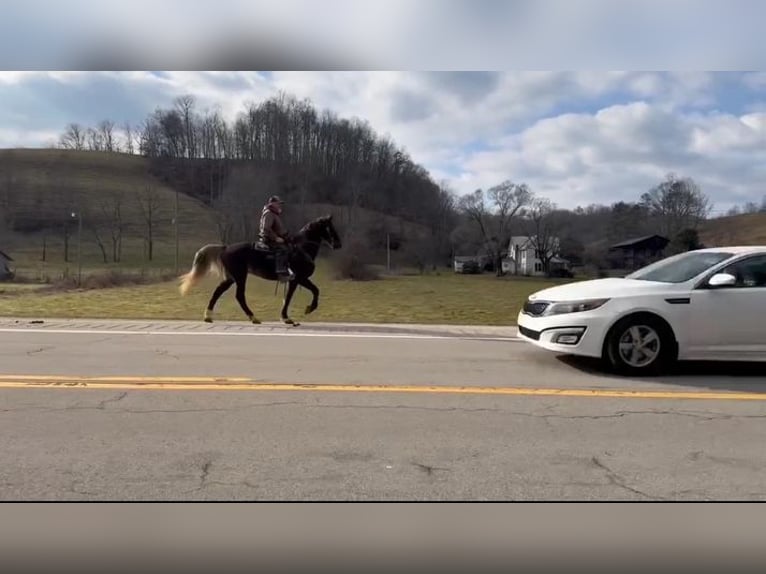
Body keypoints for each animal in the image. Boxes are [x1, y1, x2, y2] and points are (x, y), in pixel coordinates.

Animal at [180, 214, 342, 326]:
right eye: (329, 228)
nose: (338, 244)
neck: (302, 249)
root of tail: (225, 248)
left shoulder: (297, 280)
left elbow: (301, 294)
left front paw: (295, 314)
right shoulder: (298, 279)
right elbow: (304, 293)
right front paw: (295, 314)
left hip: (231, 278)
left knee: (218, 291)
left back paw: (208, 316)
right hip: (240, 276)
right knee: (239, 296)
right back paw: (253, 317)